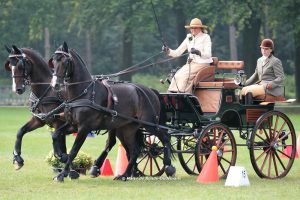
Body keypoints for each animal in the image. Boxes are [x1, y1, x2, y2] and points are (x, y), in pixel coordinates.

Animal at [49, 41, 176, 181]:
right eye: (53, 61)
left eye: (65, 61)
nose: (55, 85)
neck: (84, 93)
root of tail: (150, 91)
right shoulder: (73, 125)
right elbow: (56, 134)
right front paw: (60, 155)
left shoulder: (84, 128)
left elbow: (73, 151)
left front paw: (61, 174)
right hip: (127, 128)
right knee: (134, 150)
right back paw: (125, 174)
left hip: (150, 124)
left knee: (165, 137)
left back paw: (168, 166)